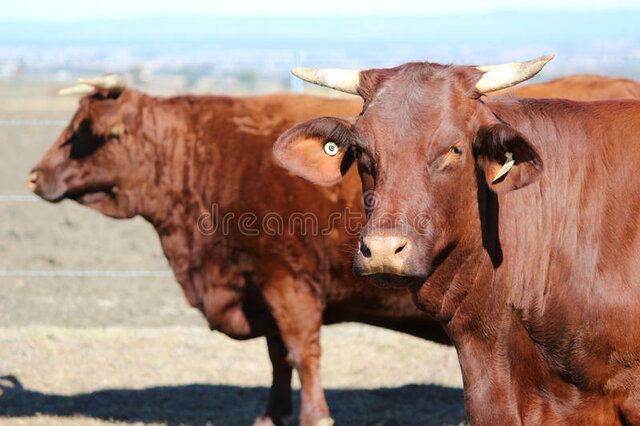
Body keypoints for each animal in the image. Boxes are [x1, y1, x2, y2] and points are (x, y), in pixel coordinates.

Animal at [28, 76, 450, 426]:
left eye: (81, 131)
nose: (34, 175)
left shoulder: (287, 281)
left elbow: (302, 353)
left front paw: (315, 416)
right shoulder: (261, 290)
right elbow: (278, 356)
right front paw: (271, 416)